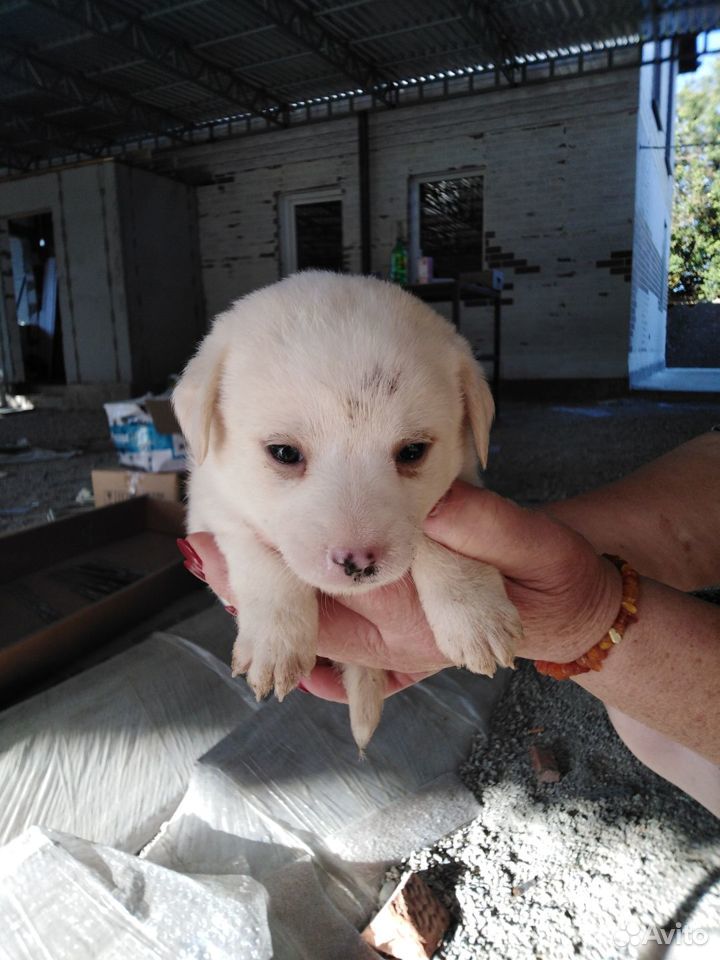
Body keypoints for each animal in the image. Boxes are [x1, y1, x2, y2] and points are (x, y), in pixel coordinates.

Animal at [174, 270, 524, 752]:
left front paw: (476, 614)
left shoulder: (462, 483)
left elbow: (438, 541)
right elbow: (262, 557)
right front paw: (274, 643)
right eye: (284, 452)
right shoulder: (211, 507)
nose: (358, 562)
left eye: (413, 451)